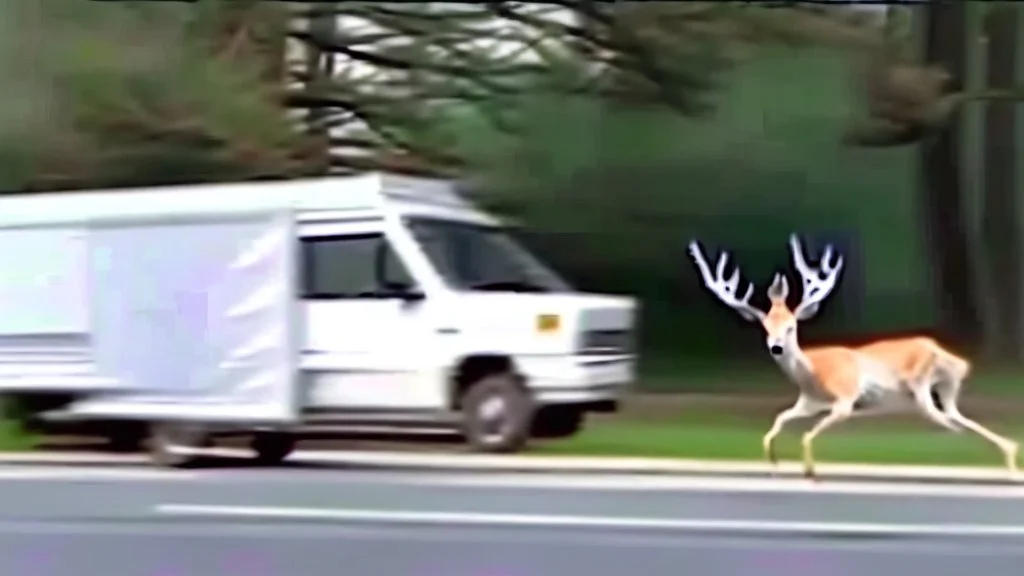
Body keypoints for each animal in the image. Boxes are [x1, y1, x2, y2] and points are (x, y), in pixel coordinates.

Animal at [688, 233, 1015, 479]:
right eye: (766, 328)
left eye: (791, 327)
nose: (776, 347)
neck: (814, 375)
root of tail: (955, 357)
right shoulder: (809, 401)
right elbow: (778, 422)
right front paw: (773, 461)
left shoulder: (845, 397)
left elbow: (807, 434)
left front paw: (810, 469)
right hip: (942, 387)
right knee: (954, 416)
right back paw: (1009, 453)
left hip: (920, 380)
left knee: (945, 417)